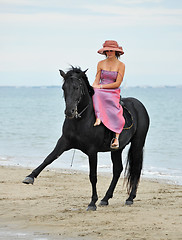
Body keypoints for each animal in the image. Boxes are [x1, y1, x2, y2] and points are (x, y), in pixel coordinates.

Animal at [22, 66, 150, 209]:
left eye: (77, 87)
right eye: (63, 88)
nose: (69, 111)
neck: (82, 119)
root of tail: (139, 105)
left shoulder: (92, 151)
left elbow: (93, 176)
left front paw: (92, 202)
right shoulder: (64, 142)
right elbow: (49, 158)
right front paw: (30, 176)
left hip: (138, 144)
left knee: (136, 168)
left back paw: (130, 198)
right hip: (117, 148)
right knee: (118, 169)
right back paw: (106, 198)